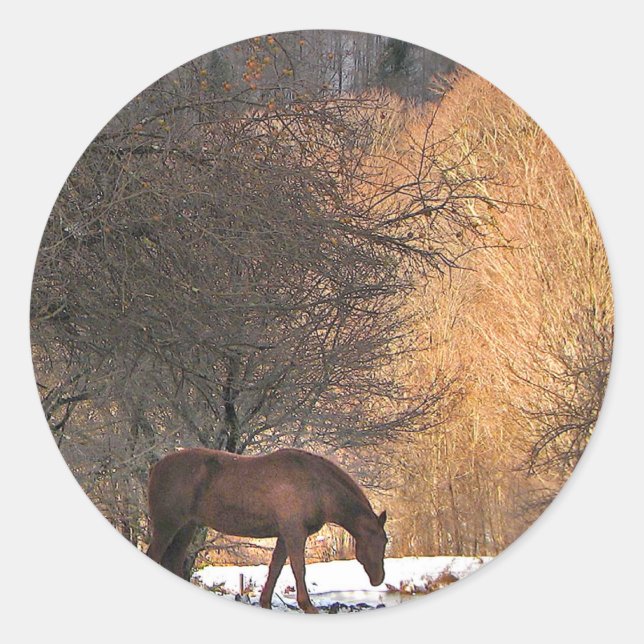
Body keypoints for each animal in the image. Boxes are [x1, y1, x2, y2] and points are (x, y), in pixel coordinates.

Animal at [146, 447, 388, 613]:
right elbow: (298, 569)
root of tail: (156, 468)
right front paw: (307, 606)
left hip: (186, 527)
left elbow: (275, 569)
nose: (379, 578)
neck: (317, 487)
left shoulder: (284, 536)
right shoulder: (294, 534)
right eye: (381, 541)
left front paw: (265, 603)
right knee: (155, 555)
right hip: (167, 526)